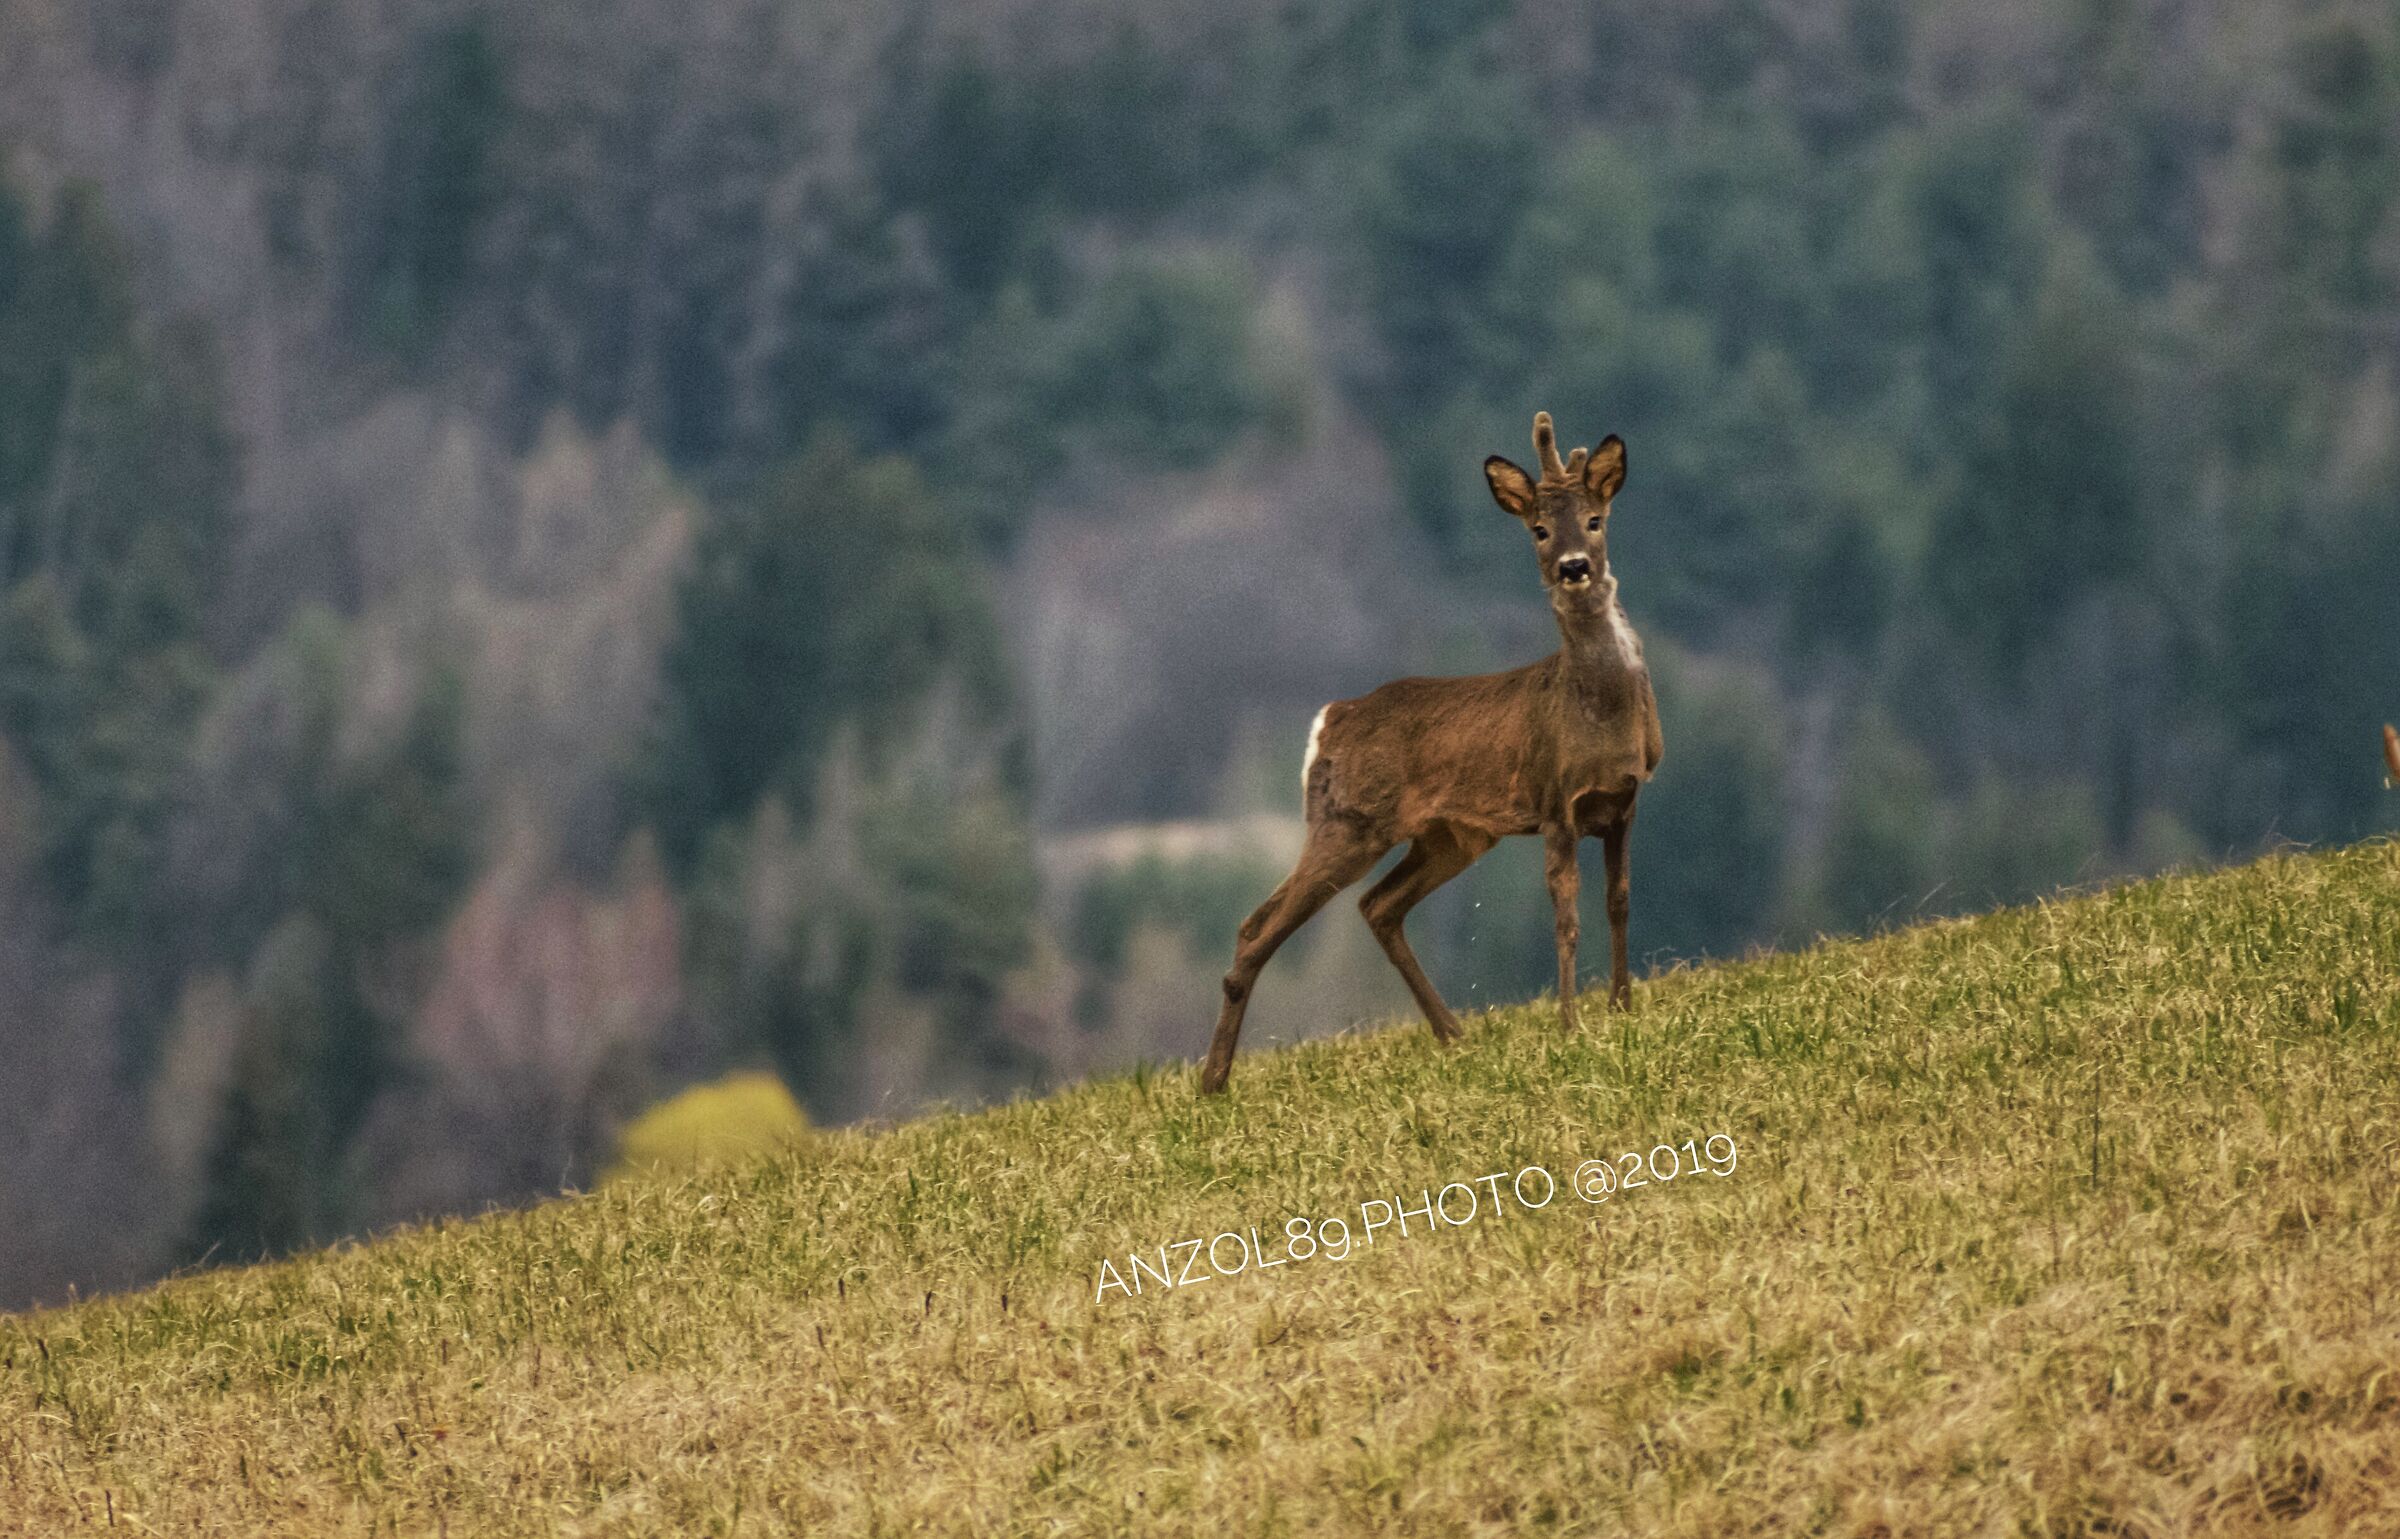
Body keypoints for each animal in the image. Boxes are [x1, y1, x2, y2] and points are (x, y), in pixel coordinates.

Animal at [1199, 412, 1663, 1094]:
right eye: (1539, 529)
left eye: (1596, 519)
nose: (1574, 566)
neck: (1600, 713)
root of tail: (1331, 719)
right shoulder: (1554, 802)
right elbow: (1567, 917)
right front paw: (1570, 1025)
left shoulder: (1625, 802)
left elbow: (1620, 903)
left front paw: (1622, 1009)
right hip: (1347, 822)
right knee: (1258, 925)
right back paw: (1213, 1080)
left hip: (1449, 836)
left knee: (1377, 906)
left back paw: (1454, 1034)